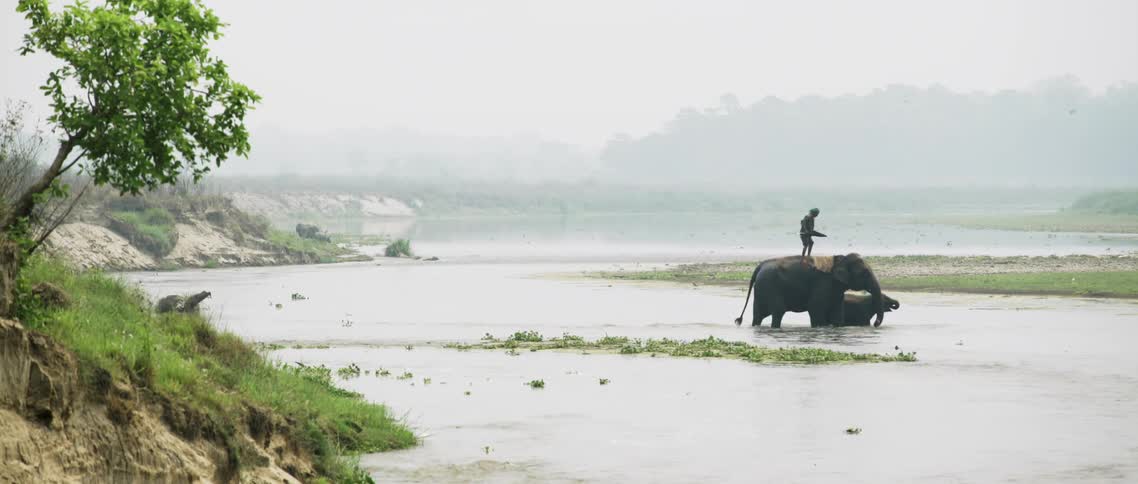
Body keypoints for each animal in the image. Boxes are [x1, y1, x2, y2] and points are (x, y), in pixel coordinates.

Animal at [733, 254, 885, 328]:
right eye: (865, 273)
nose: (875, 324)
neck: (839, 259)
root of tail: (760, 266)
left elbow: (837, 312)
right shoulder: (822, 283)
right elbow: (815, 308)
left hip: (762, 289)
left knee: (758, 315)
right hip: (771, 286)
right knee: (778, 311)